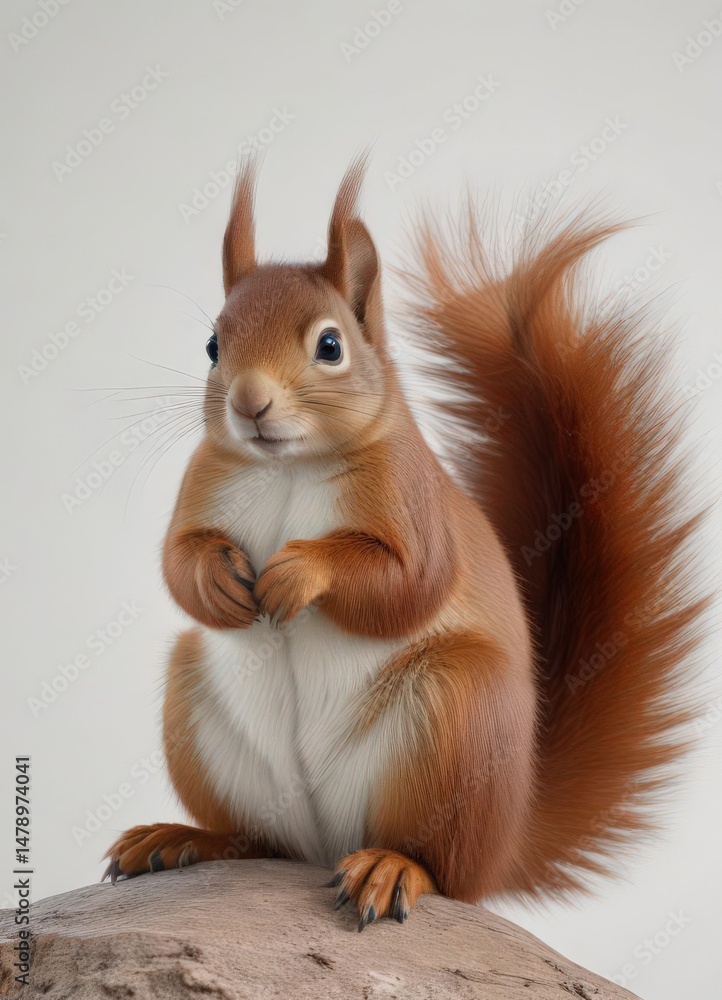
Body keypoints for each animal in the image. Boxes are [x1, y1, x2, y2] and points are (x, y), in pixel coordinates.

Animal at [104, 158, 706, 930]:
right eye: (213, 346)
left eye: (331, 346)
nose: (248, 402)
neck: (289, 465)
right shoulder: (204, 484)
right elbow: (178, 560)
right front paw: (216, 577)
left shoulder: (412, 500)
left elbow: (408, 583)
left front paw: (299, 571)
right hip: (201, 712)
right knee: (257, 841)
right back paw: (182, 839)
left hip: (455, 715)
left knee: (444, 868)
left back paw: (391, 867)